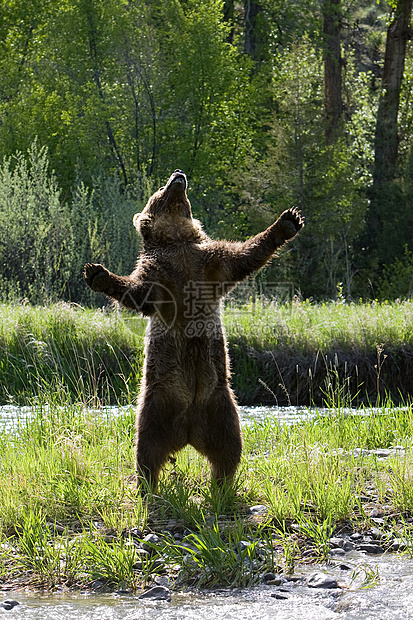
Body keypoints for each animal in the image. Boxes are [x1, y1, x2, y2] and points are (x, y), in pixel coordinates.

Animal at [83, 168, 302, 490]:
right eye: (160, 189)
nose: (178, 173)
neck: (177, 241)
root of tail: (188, 430)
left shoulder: (209, 262)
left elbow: (244, 256)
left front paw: (288, 221)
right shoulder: (160, 274)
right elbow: (139, 292)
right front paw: (97, 274)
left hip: (222, 405)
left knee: (229, 448)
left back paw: (221, 483)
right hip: (154, 405)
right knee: (146, 449)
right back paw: (147, 485)